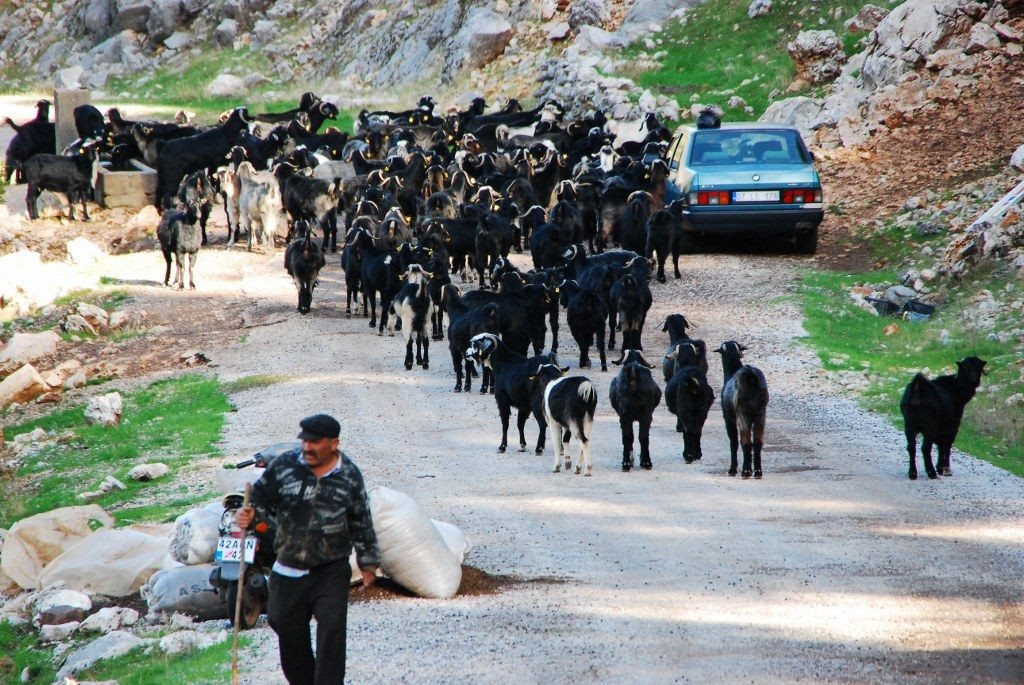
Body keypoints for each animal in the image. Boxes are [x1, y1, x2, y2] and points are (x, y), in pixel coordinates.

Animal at [716, 339, 770, 479]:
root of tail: (751, 377)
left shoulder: (728, 418)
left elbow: (734, 441)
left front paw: (733, 469)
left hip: (743, 414)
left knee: (745, 442)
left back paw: (745, 471)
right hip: (761, 413)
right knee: (757, 442)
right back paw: (757, 471)